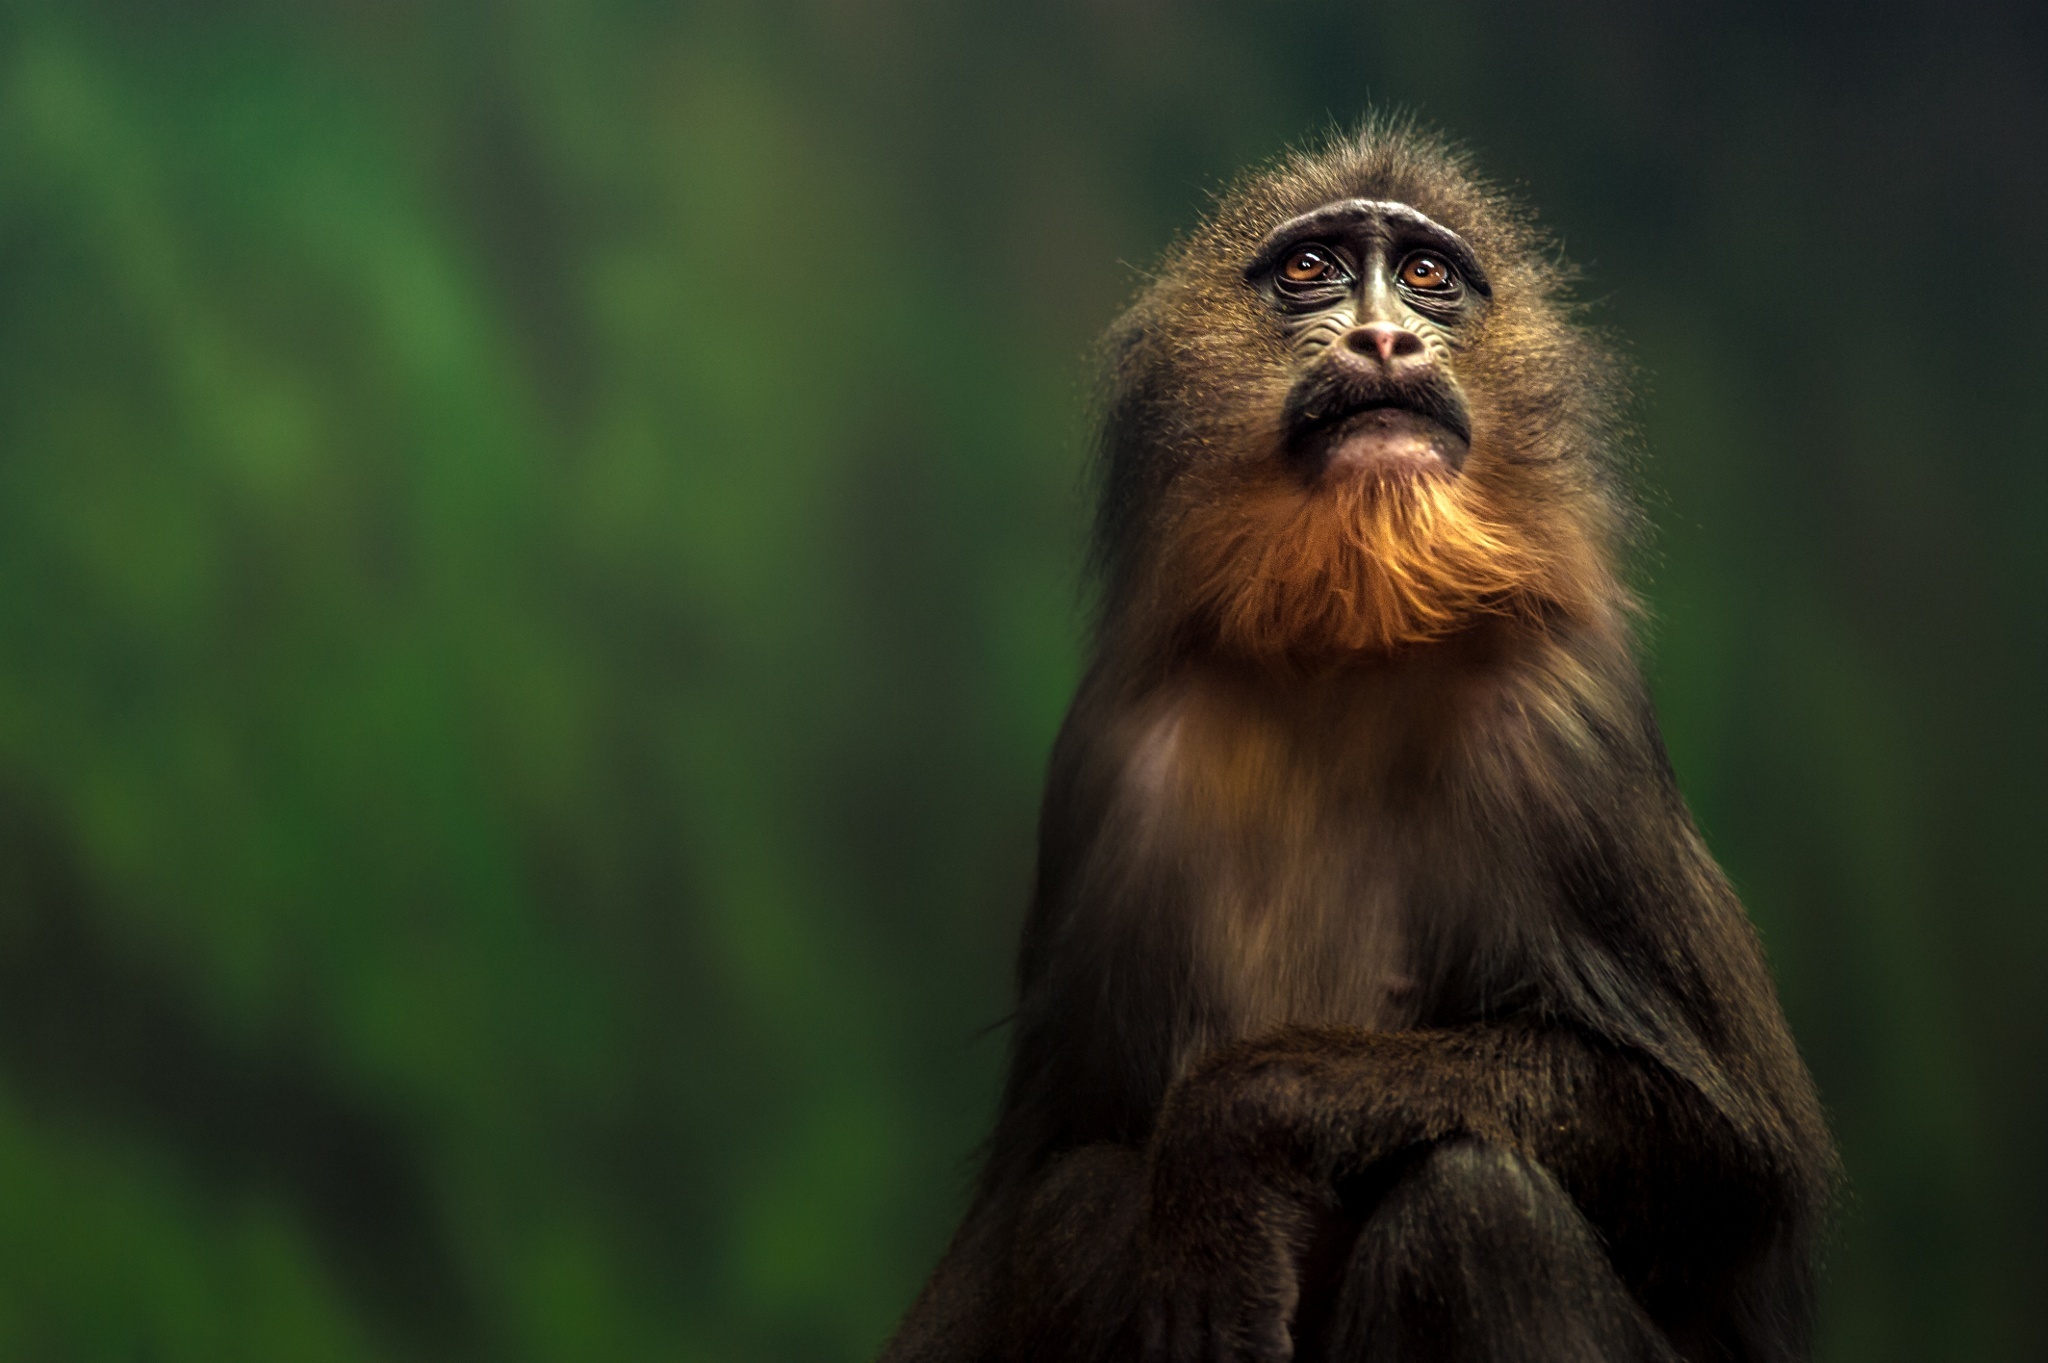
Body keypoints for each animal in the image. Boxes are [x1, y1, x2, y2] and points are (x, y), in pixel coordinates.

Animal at [881, 124, 1835, 1363]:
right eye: (1310, 270)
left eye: (1426, 276)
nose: (1382, 339)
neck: (1340, 648)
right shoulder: (1103, 753)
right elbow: (1031, 1173)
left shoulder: (1562, 729)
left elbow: (1728, 1142)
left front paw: (1231, 1135)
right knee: (1074, 1205)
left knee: (1476, 1205)